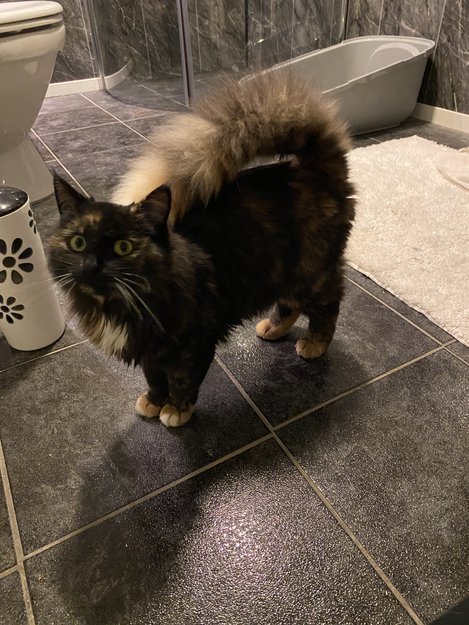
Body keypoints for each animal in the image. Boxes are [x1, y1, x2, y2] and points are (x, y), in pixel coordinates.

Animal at [49, 72, 356, 427]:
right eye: (78, 242)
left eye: (124, 247)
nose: (92, 265)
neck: (119, 305)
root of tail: (311, 166)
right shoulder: (150, 350)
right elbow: (154, 379)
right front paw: (153, 402)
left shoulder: (193, 343)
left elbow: (182, 381)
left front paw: (176, 411)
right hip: (281, 270)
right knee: (289, 304)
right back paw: (271, 329)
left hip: (312, 272)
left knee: (328, 307)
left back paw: (314, 344)